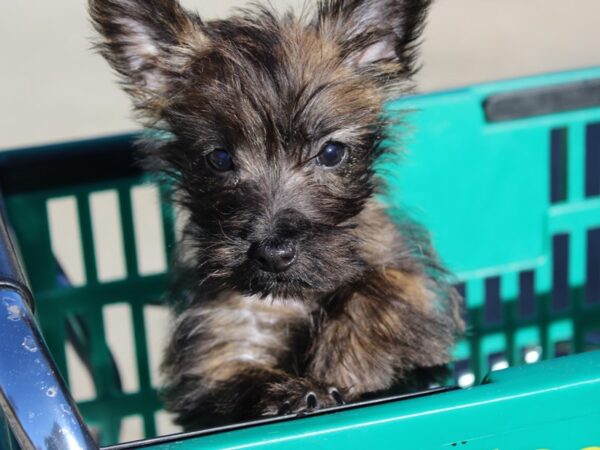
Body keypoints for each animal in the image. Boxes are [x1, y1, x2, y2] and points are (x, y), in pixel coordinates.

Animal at [89, 0, 464, 430]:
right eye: (220, 158)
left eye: (331, 153)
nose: (274, 252)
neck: (293, 296)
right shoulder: (218, 355)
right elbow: (240, 375)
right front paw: (297, 390)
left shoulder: (411, 274)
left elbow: (383, 287)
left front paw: (345, 360)